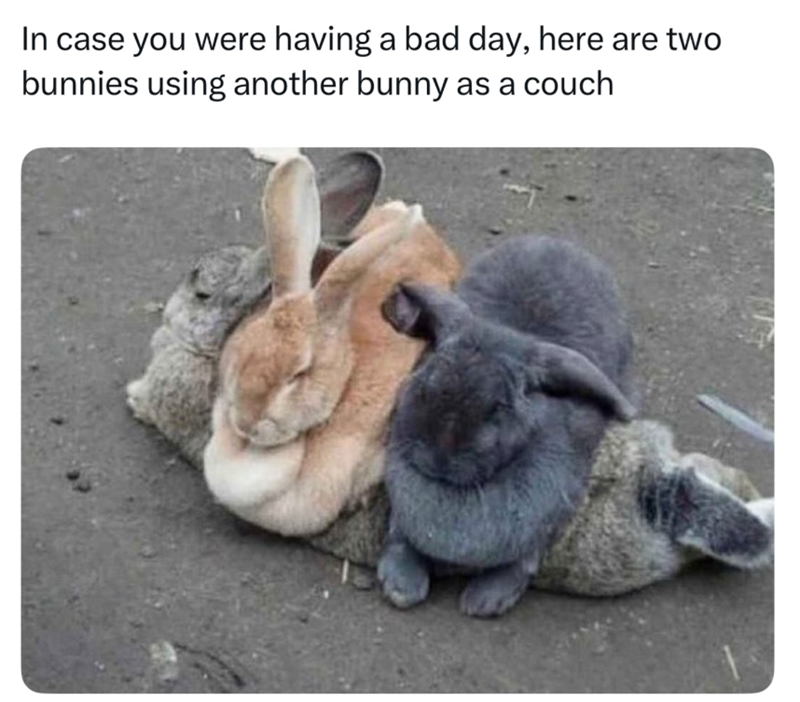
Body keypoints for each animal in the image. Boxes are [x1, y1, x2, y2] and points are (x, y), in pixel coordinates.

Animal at [376, 235, 641, 617]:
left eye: (498, 407)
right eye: (426, 380)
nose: (438, 460)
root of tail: (556, 241)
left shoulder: (560, 504)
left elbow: (526, 557)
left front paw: (486, 600)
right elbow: (399, 531)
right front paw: (401, 584)